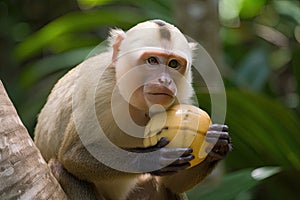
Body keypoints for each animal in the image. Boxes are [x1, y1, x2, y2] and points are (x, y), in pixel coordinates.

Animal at [35, 19, 232, 200]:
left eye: (174, 64)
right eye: (152, 60)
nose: (165, 81)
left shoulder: (179, 99)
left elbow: (173, 184)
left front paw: (217, 143)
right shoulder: (96, 88)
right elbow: (72, 156)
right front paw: (152, 159)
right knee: (60, 167)